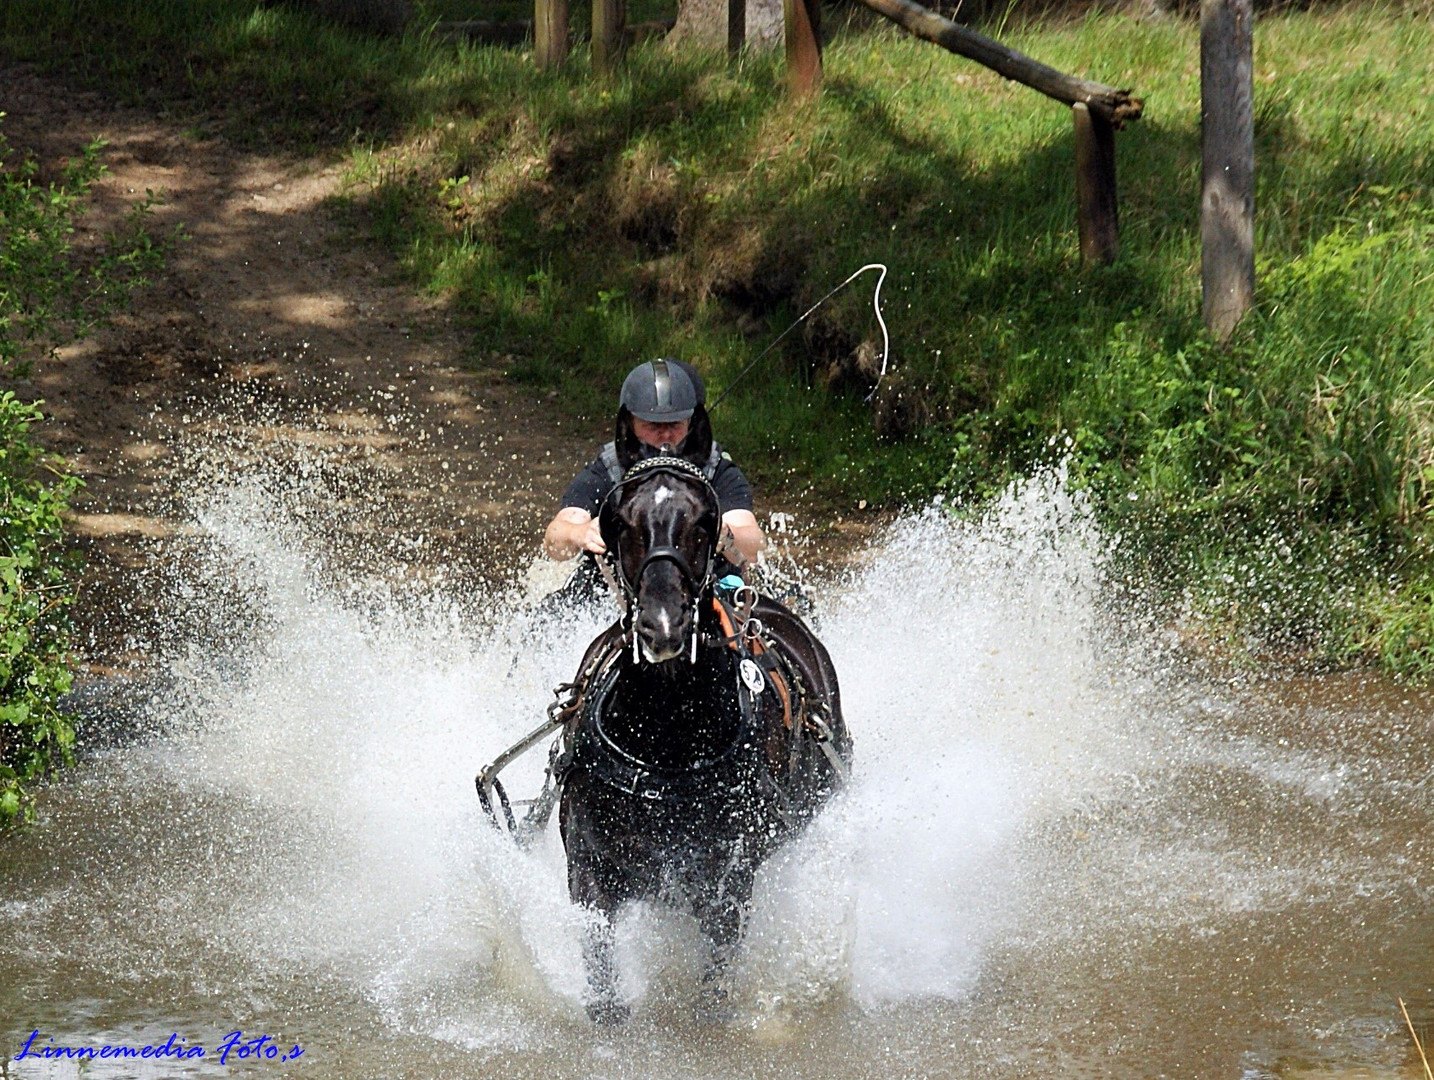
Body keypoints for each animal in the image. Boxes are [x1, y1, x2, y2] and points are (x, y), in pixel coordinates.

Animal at [553, 424, 848, 1021]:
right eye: (620, 519)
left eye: (704, 521)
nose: (662, 624)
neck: (666, 736)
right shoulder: (589, 872)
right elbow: (602, 985)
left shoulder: (726, 881)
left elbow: (713, 989)